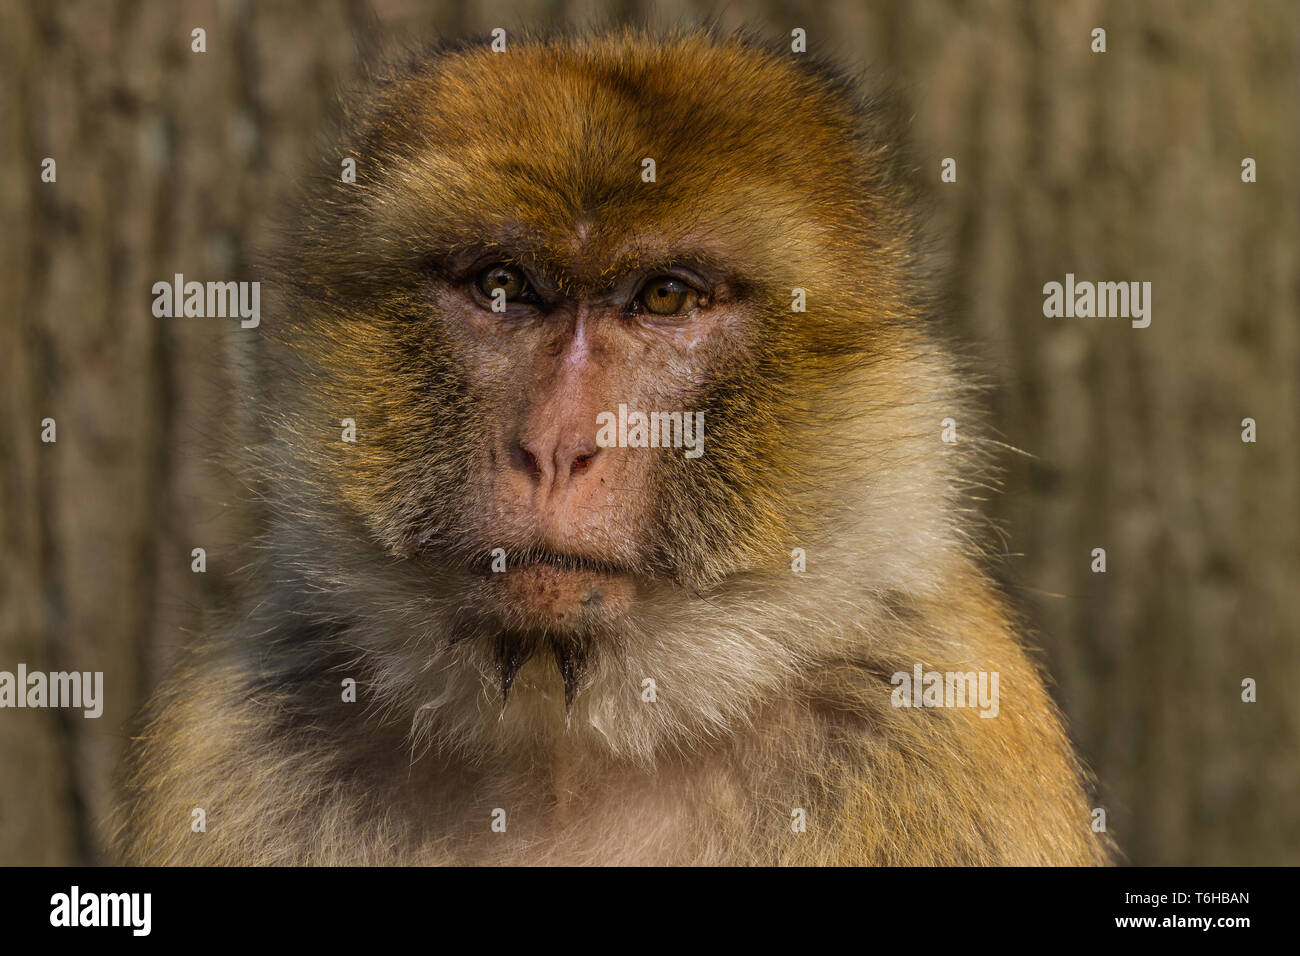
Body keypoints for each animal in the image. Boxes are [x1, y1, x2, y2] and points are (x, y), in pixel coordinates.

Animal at [112, 28, 1112, 866]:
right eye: (505, 287)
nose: (555, 448)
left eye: (664, 297)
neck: (568, 747)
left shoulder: (932, 736)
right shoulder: (246, 751)